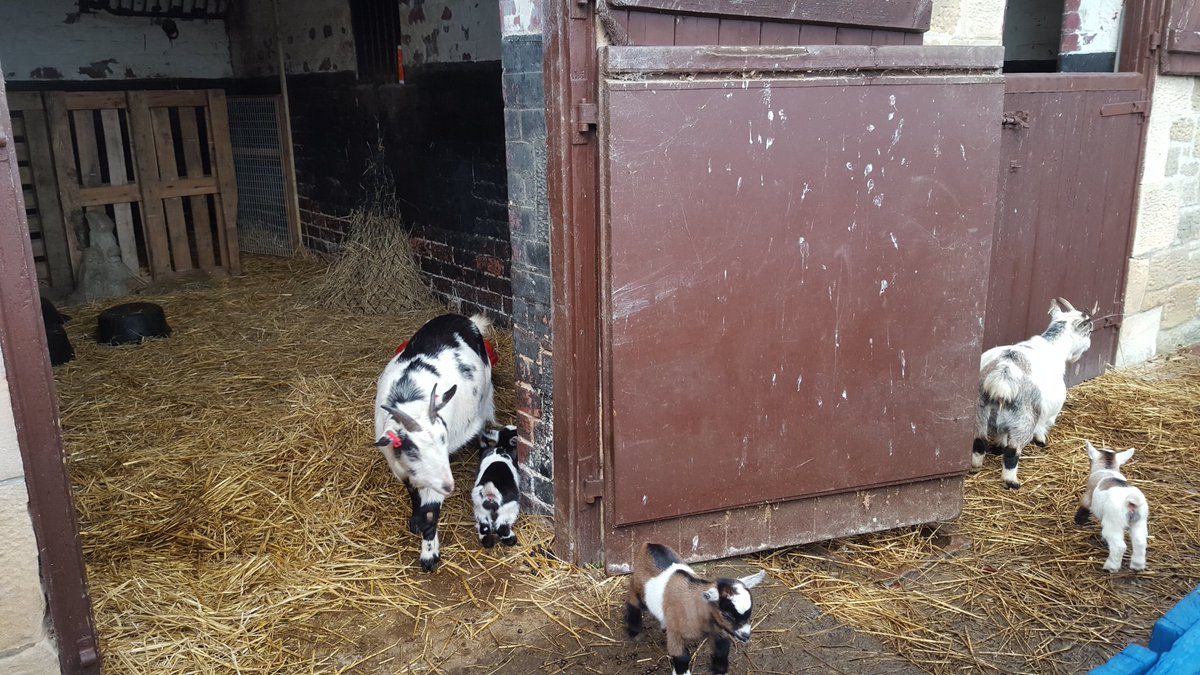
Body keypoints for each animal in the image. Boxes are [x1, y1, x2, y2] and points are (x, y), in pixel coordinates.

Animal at [374, 313, 495, 571]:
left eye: (444, 439)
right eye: (412, 449)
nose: (449, 486)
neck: (410, 401)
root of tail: (463, 318)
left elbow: (430, 512)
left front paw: (429, 555)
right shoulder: (405, 470)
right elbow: (413, 494)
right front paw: (415, 522)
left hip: (485, 398)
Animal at [625, 542, 766, 675]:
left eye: (750, 612)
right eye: (727, 614)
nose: (746, 635)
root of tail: (649, 544)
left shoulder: (717, 629)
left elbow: (722, 649)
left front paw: (719, 670)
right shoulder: (676, 633)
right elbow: (681, 657)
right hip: (638, 589)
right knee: (632, 601)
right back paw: (634, 632)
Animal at [971, 297, 1095, 489]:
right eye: (1089, 331)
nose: (1088, 346)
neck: (1053, 347)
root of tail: (1002, 377)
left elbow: (1001, 433)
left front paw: (998, 446)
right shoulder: (1048, 412)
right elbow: (1043, 426)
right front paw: (1041, 441)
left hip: (980, 413)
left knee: (979, 443)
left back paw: (975, 467)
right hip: (1024, 421)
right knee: (1012, 453)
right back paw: (1012, 482)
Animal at [1074, 441, 1149, 572]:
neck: (1107, 468)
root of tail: (1130, 501)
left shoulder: (1087, 496)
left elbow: (1084, 506)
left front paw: (1079, 520)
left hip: (1113, 524)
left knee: (1119, 546)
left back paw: (1111, 567)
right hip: (1140, 521)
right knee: (1140, 542)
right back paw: (1137, 565)